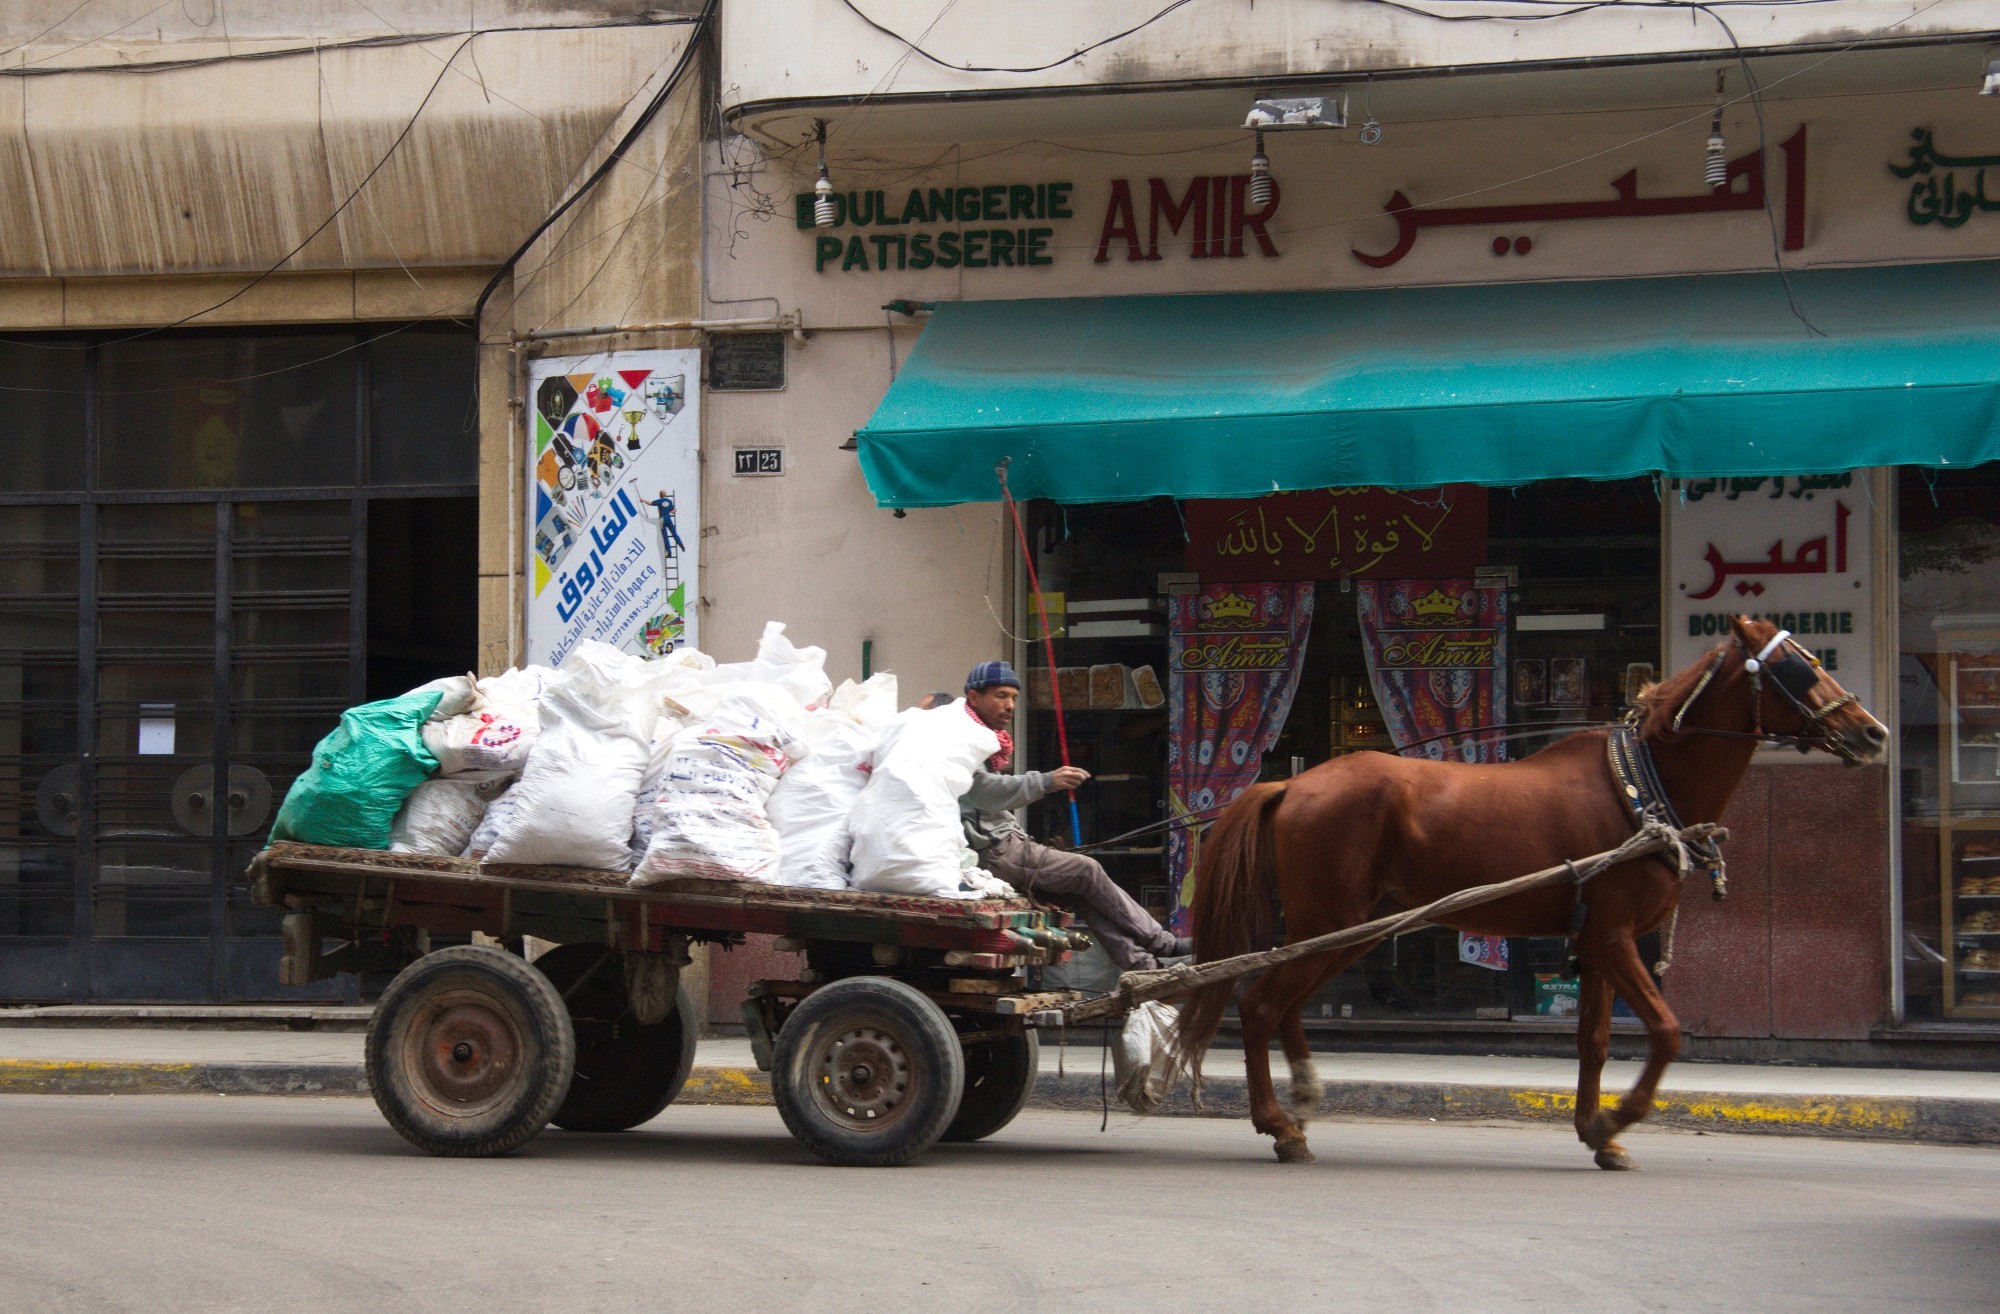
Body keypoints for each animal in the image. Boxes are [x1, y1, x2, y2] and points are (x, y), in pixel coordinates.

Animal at [1168, 616, 1872, 1168]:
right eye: (1796, 667)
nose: (1873, 733)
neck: (1638, 788)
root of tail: (1292, 783)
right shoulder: (1614, 936)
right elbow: (1667, 1031)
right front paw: (1617, 1118)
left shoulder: (1597, 941)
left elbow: (1595, 1040)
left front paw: (1597, 1132)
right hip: (1329, 919)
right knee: (1260, 1006)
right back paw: (1279, 1125)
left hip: (1351, 928)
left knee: (1282, 1004)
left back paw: (1301, 1101)